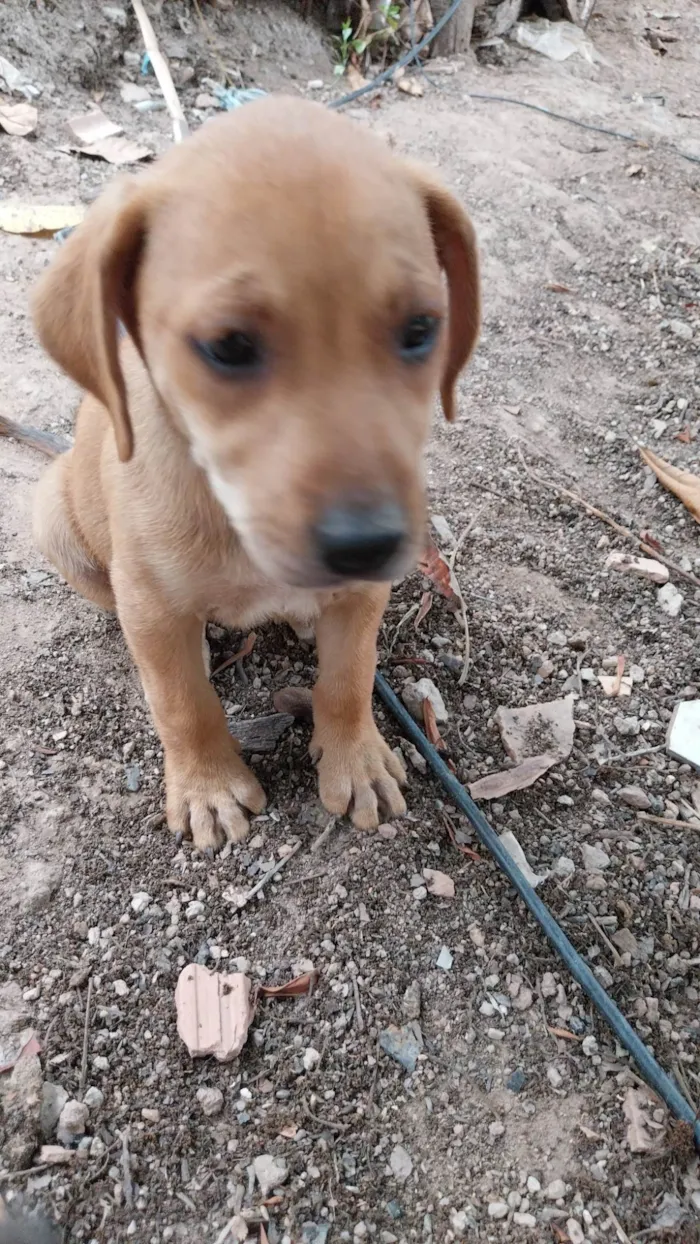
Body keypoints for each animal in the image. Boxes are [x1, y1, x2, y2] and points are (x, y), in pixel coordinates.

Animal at [27, 99, 479, 855]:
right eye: (229, 346)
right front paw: (209, 786)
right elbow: (183, 702)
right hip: (54, 518)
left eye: (421, 329)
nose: (368, 543)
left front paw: (355, 759)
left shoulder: (365, 596)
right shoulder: (152, 605)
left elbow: (349, 679)